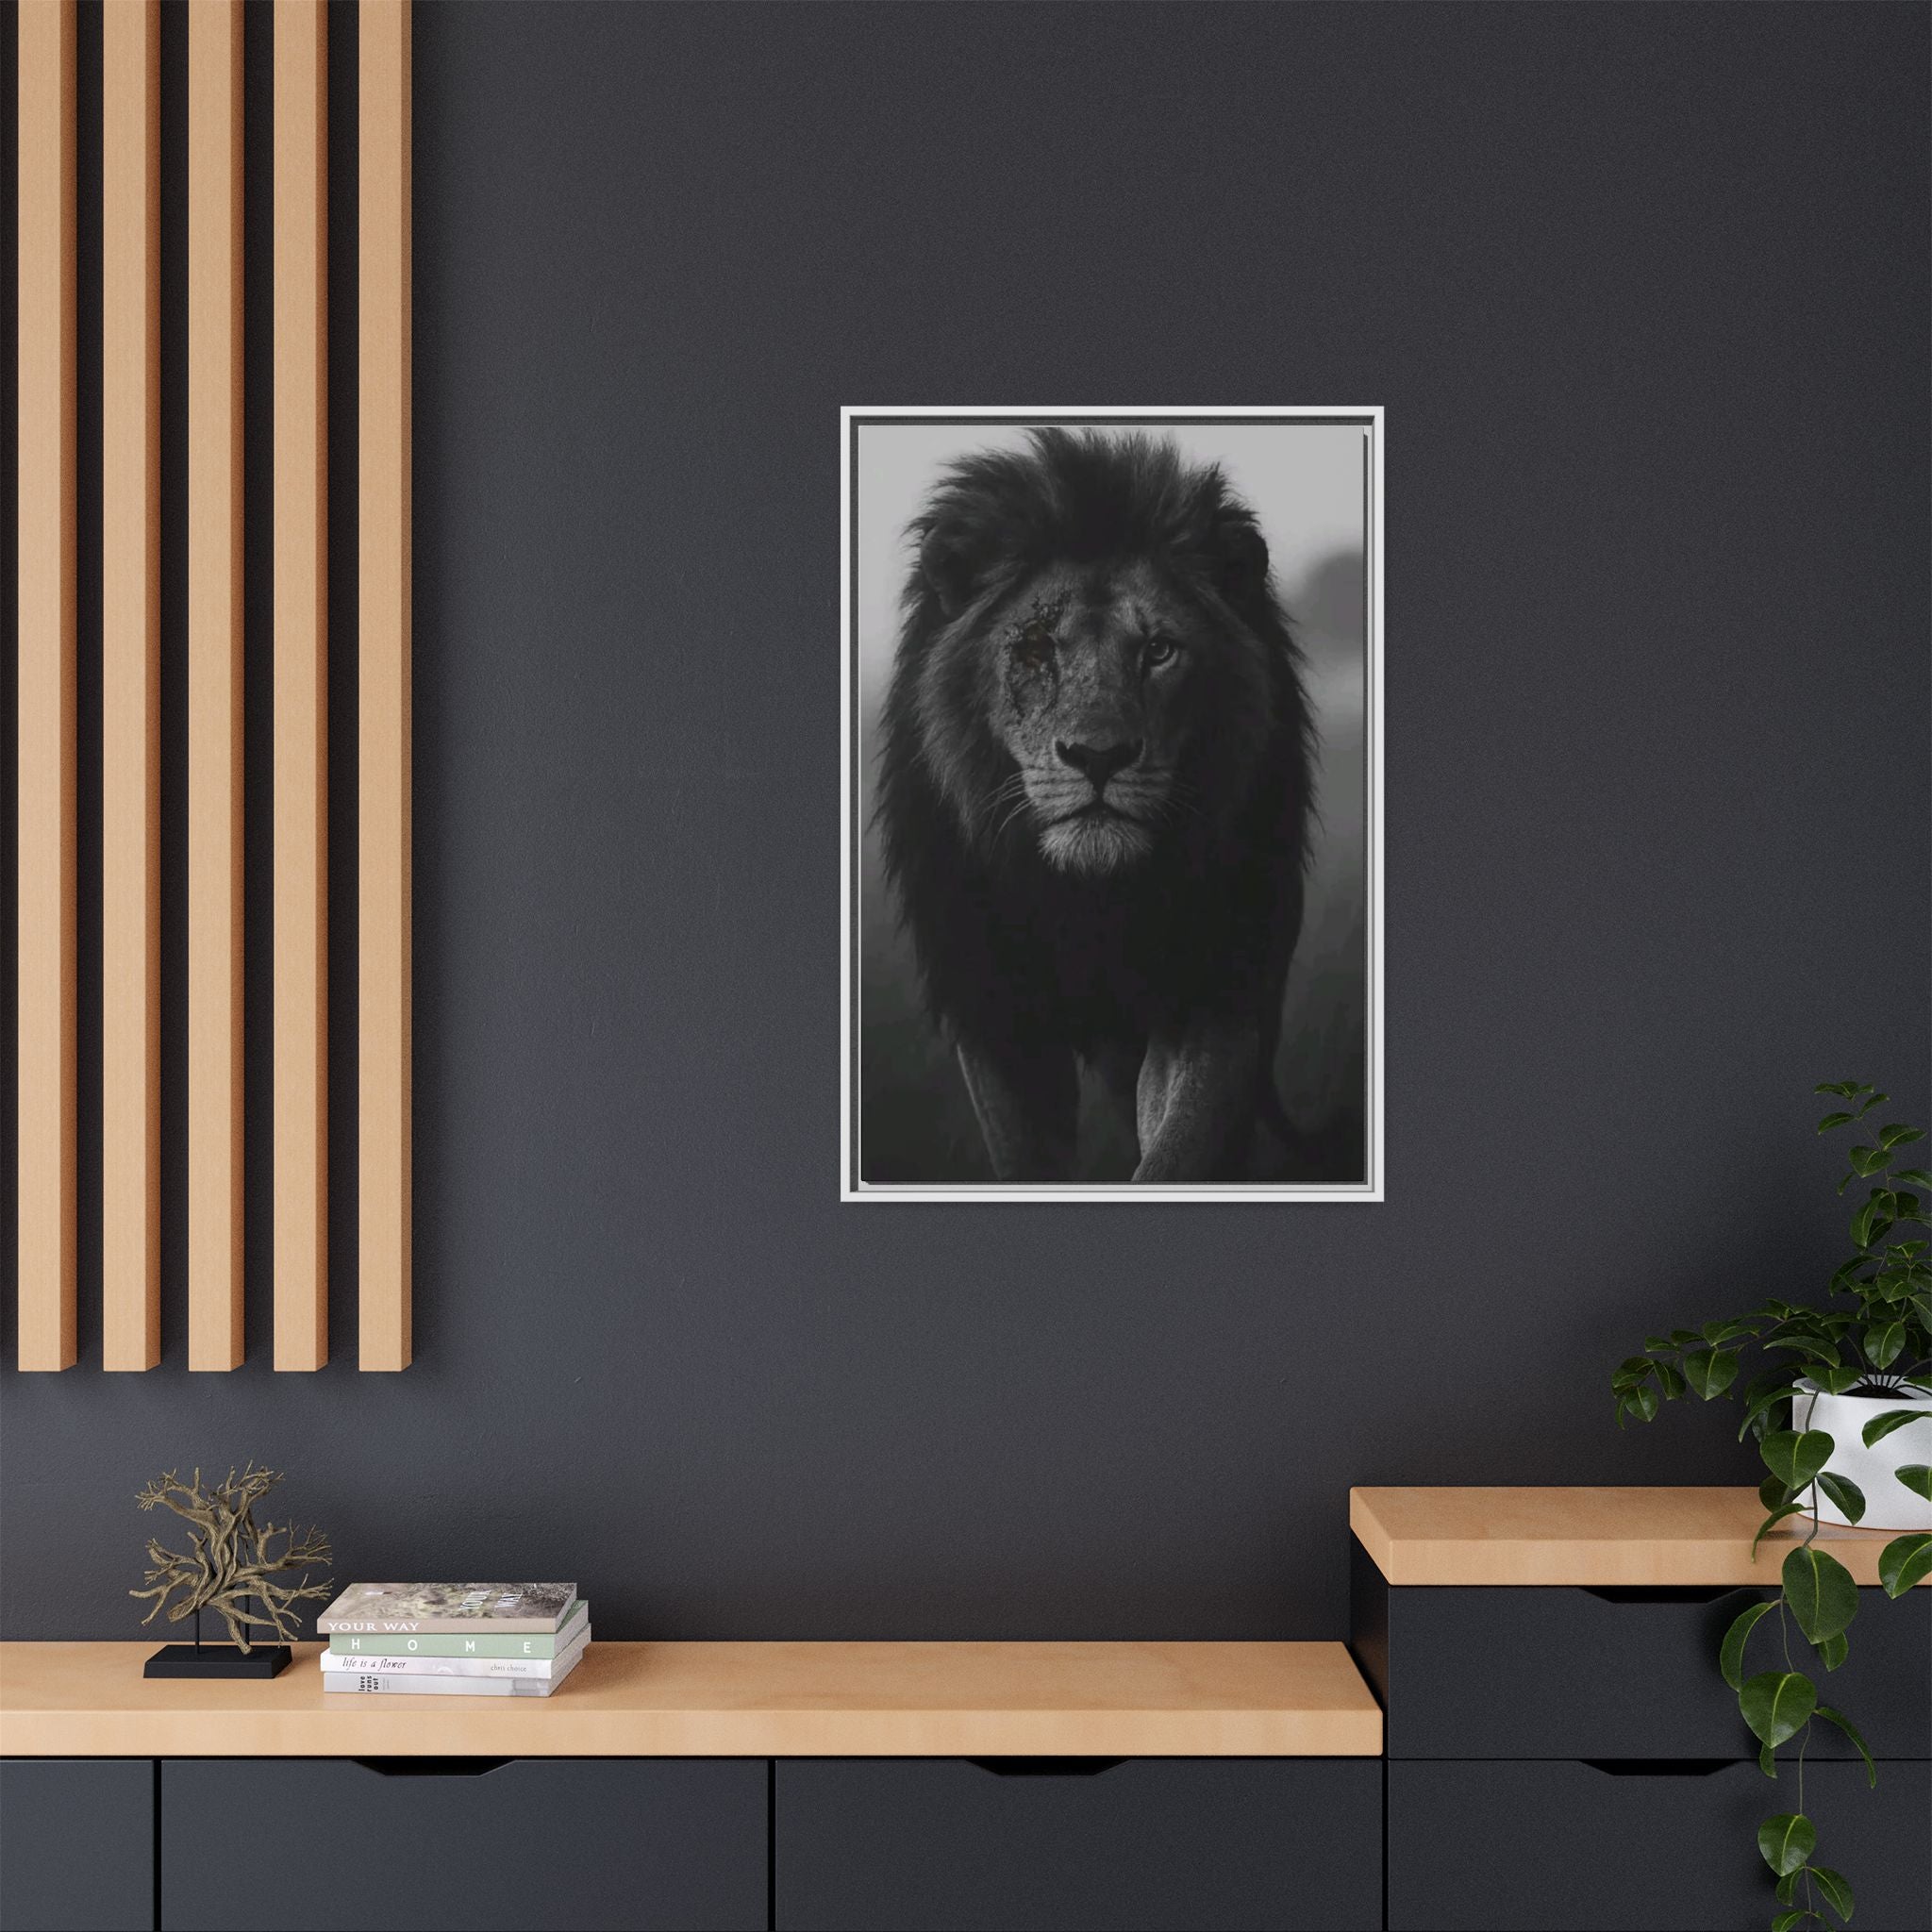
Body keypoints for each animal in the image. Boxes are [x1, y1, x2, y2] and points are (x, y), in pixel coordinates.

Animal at [875, 428, 1316, 1183]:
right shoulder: (994, 1010)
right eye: (1034, 650)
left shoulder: (1214, 987)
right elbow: (1025, 1158)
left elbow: (1182, 1144)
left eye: (1159, 651)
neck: (1090, 902)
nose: (1099, 756)